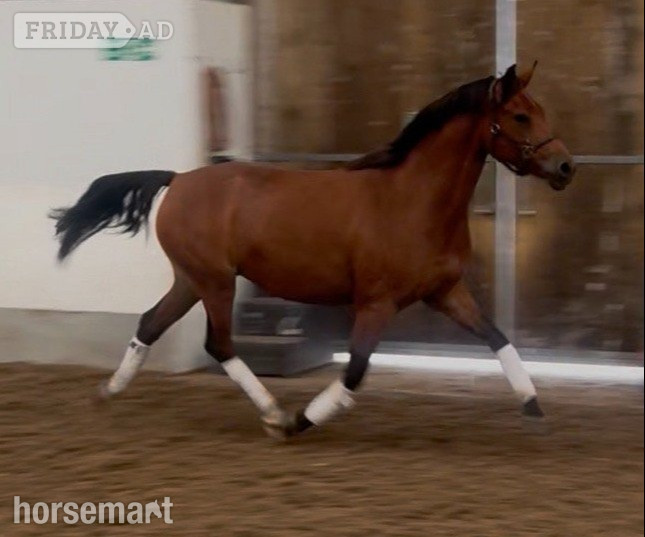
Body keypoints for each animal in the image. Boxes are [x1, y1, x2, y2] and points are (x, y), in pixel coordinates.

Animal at [51, 63, 575, 439]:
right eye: (521, 116)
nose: (565, 167)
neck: (413, 200)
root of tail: (177, 179)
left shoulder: (445, 292)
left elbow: (497, 337)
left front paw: (532, 405)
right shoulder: (376, 303)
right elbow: (356, 371)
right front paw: (300, 421)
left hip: (191, 280)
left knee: (149, 325)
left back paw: (107, 393)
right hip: (215, 281)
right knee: (218, 344)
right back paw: (273, 413)